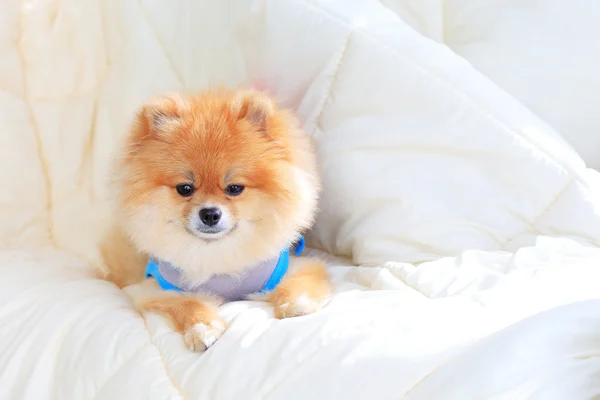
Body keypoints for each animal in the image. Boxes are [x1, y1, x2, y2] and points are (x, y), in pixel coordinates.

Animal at [101, 89, 330, 352]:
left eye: (234, 188)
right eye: (185, 189)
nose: (210, 213)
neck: (216, 251)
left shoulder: (298, 267)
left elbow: (297, 283)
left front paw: (295, 305)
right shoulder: (156, 288)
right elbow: (188, 304)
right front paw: (203, 328)